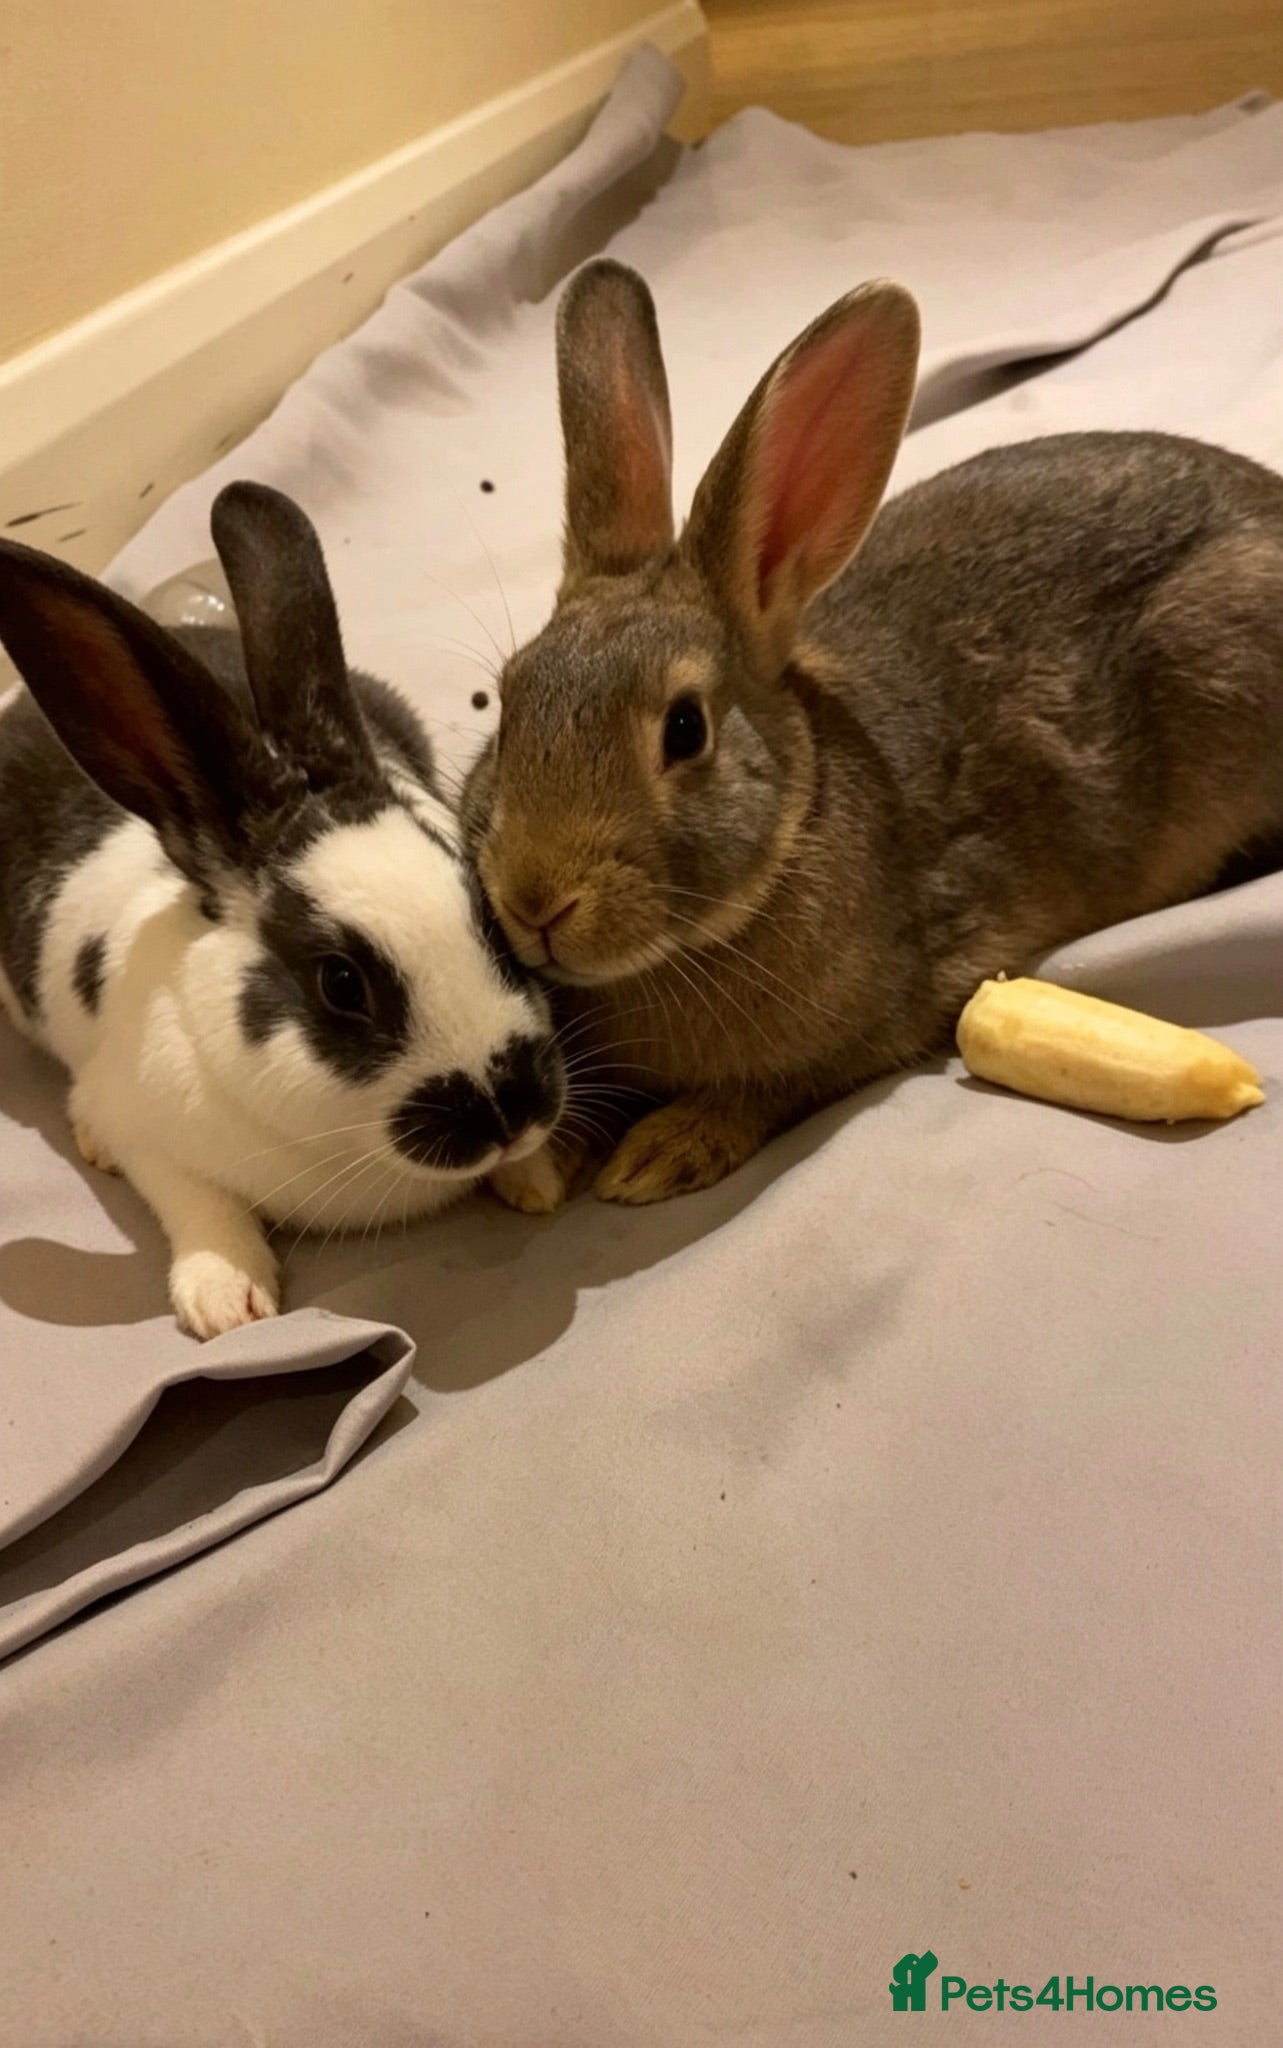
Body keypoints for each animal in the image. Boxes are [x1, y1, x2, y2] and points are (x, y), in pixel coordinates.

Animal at [0, 482, 565, 1337]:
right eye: (341, 984)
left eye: (494, 924)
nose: (508, 1112)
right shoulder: (151, 1136)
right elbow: (198, 1204)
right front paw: (227, 1302)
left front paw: (536, 1180)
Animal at [462, 257, 1283, 1209]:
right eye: (506, 703)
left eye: (684, 730)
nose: (534, 901)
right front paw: (535, 1173)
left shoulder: (882, 1021)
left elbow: (772, 1088)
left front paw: (661, 1153)